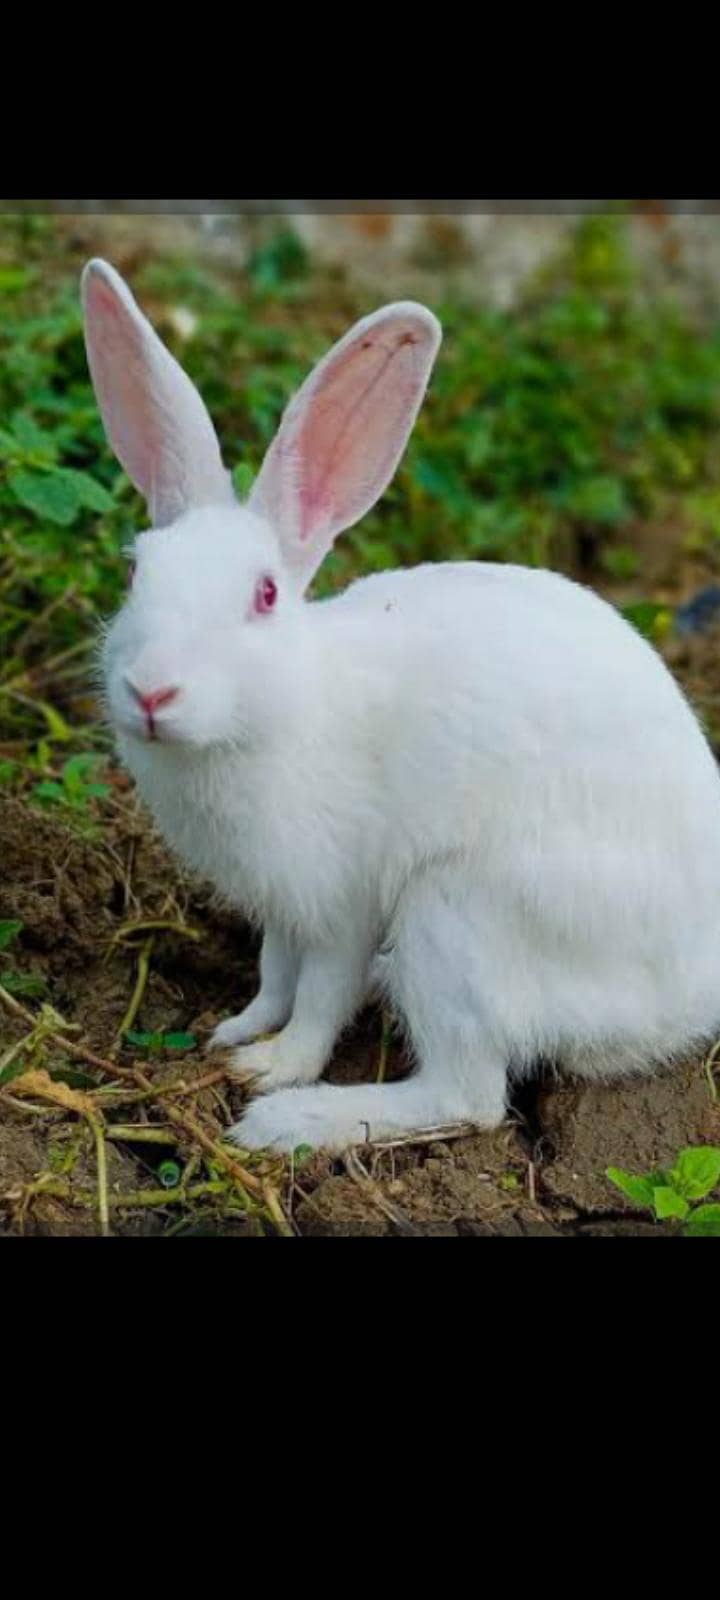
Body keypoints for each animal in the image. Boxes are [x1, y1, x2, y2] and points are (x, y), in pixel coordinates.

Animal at [81, 256, 720, 1154]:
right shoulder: (284, 911)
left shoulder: (341, 901)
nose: (150, 691)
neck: (285, 711)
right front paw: (238, 1030)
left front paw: (272, 1070)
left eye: (265, 595)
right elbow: (275, 973)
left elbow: (320, 998)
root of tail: (688, 1001)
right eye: (137, 571)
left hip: (458, 917)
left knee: (467, 1095)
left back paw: (292, 1123)